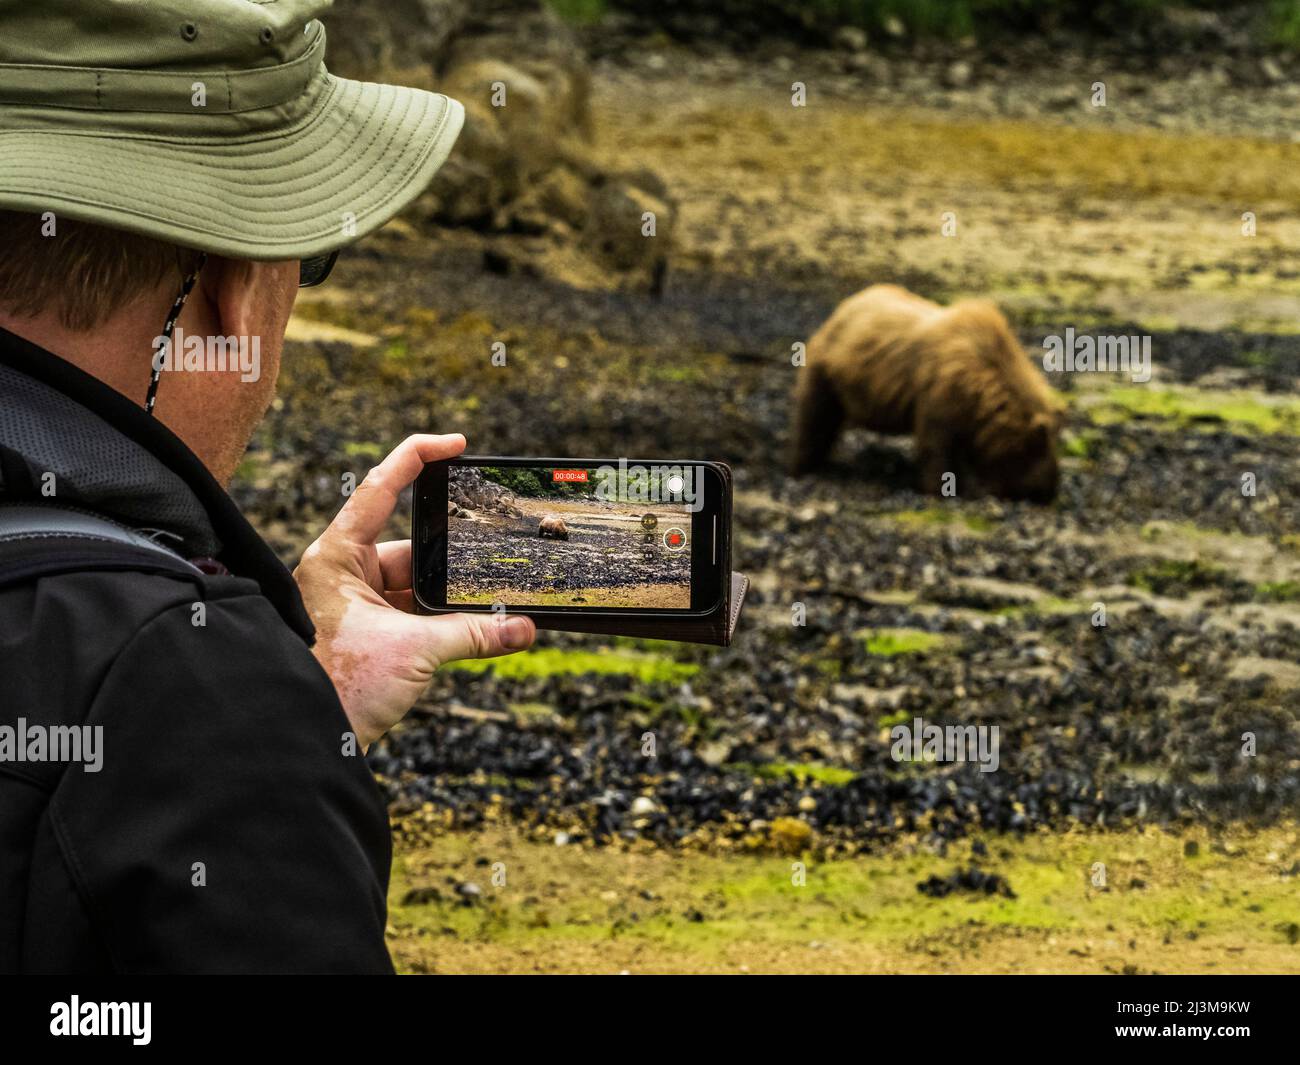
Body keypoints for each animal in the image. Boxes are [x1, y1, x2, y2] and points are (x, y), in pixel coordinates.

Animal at [785, 280, 1060, 501]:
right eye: (1041, 454)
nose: (1050, 493)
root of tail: (842, 308)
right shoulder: (939, 392)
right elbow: (936, 445)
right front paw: (942, 488)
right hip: (829, 371)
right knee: (816, 417)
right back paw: (804, 467)